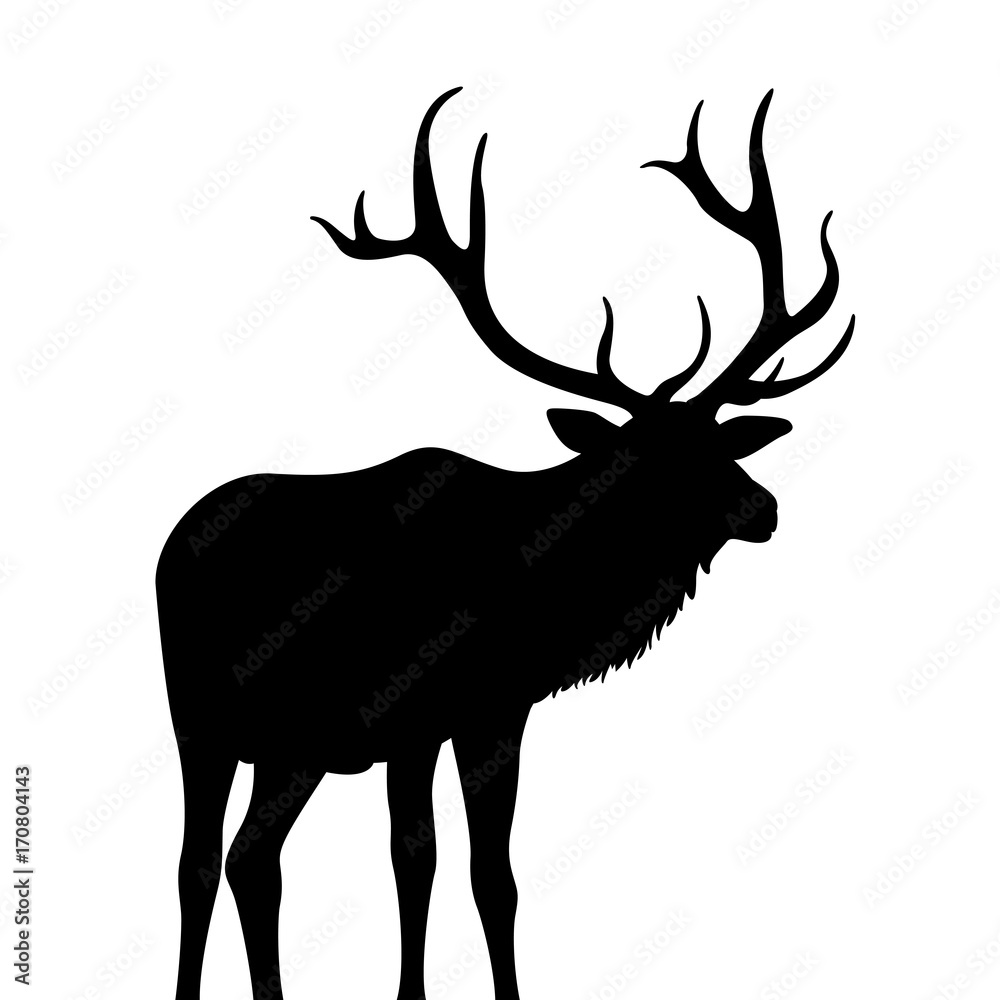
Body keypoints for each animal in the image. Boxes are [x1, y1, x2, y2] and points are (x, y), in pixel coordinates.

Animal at [157, 87, 854, 1000]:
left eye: (721, 442)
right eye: (650, 459)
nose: (765, 508)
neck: (540, 582)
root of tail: (169, 545)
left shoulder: (475, 714)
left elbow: (463, 866)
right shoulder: (440, 710)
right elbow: (445, 862)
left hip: (288, 744)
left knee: (247, 857)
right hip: (201, 719)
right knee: (203, 859)